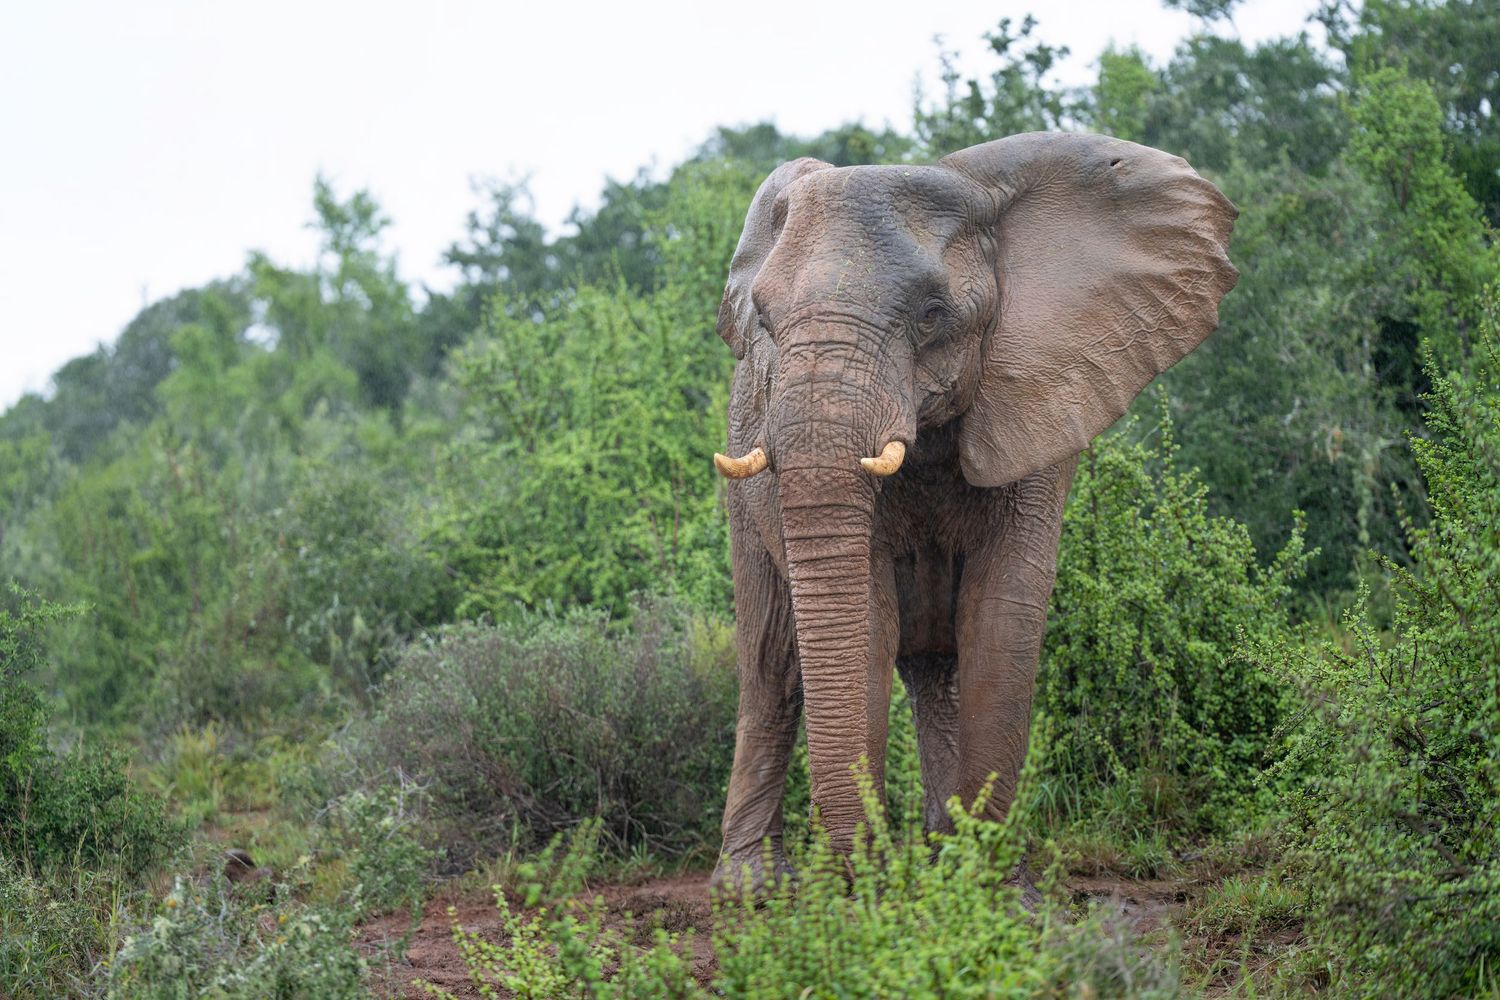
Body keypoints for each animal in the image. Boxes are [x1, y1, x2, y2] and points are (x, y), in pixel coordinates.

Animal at [707, 132, 1238, 893]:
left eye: (932, 314)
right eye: (766, 321)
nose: (860, 872)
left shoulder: (1040, 390)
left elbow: (1002, 613)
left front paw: (991, 890)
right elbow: (863, 616)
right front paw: (877, 892)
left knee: (936, 672)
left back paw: (936, 851)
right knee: (772, 665)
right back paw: (753, 889)